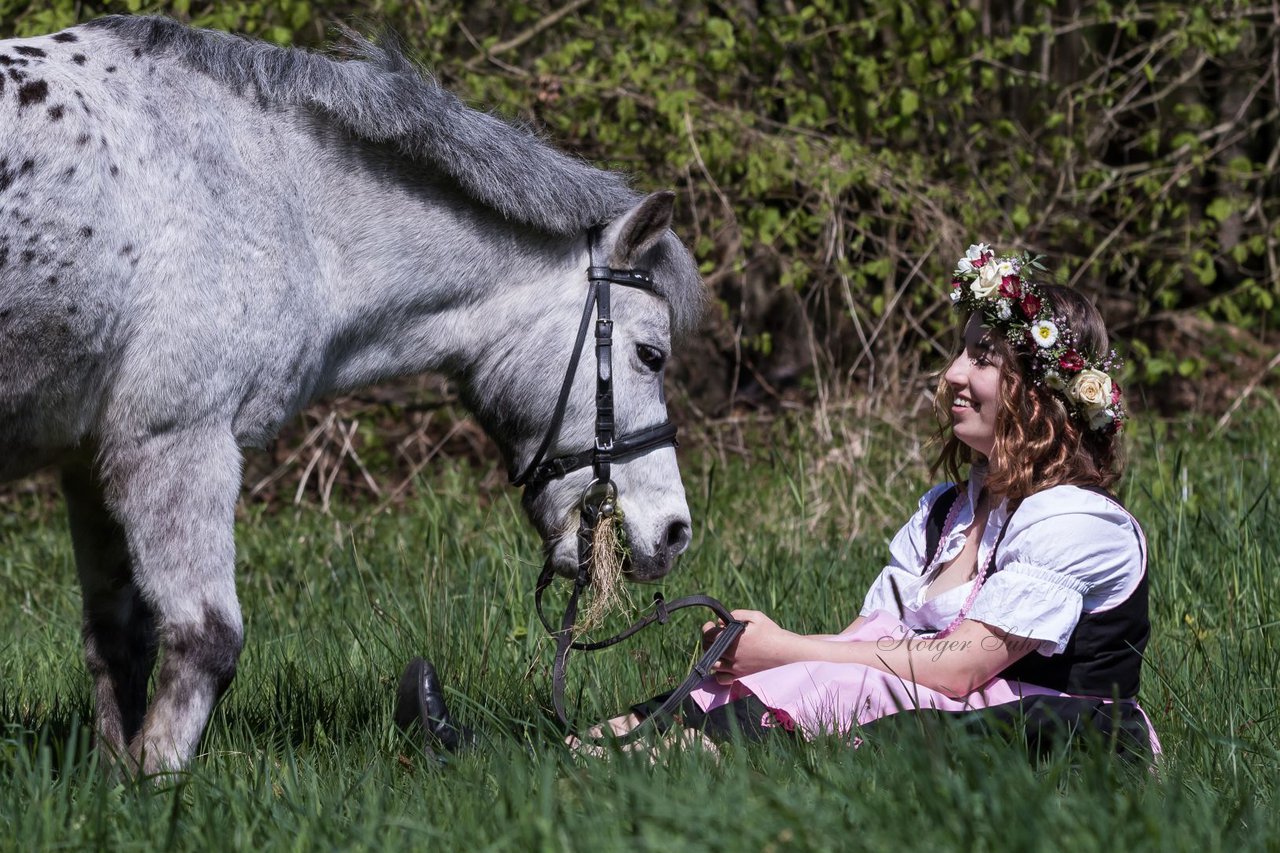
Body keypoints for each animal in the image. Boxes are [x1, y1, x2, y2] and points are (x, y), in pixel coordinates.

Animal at [0, 14, 701, 768]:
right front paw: (157, 781)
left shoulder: (91, 461)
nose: (675, 533)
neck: (262, 189)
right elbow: (205, 639)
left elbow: (118, 647)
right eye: (651, 354)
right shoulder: (178, 443)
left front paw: (118, 777)